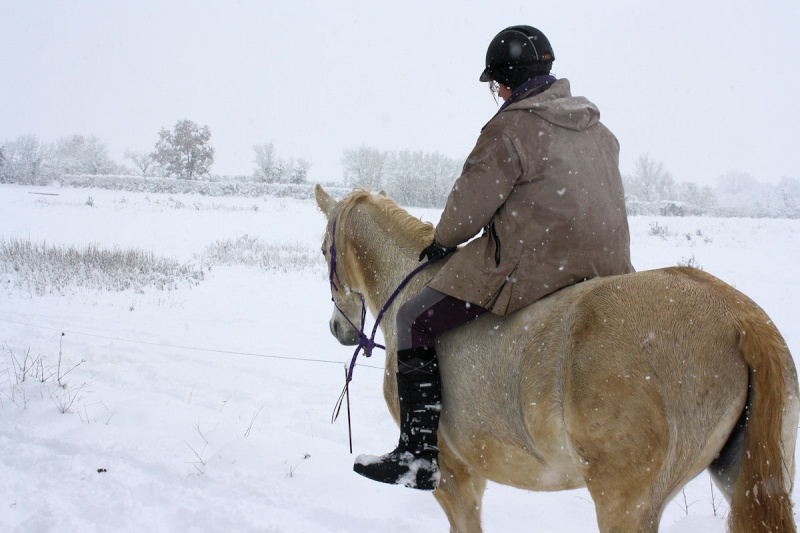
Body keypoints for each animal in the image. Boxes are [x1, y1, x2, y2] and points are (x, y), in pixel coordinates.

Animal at [316, 184, 796, 532]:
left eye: (324, 250)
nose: (339, 330)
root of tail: (739, 316)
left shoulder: (454, 477)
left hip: (625, 501)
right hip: (745, 477)